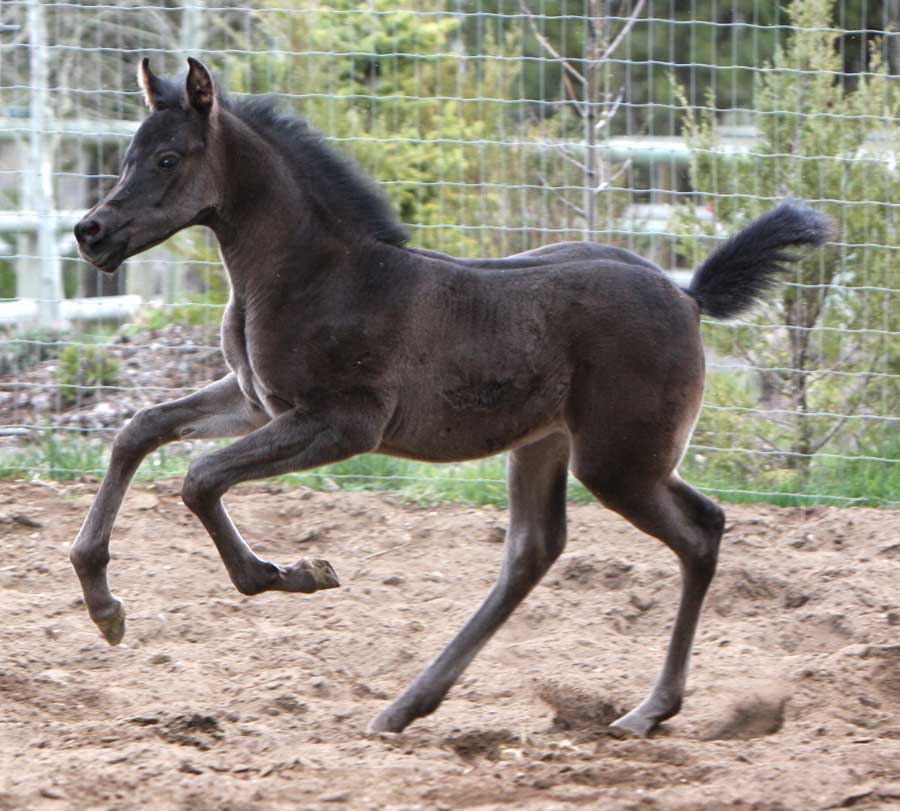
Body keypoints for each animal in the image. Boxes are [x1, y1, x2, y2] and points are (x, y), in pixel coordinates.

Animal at [70, 60, 828, 740]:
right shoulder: (258, 402)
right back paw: (407, 706)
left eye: (168, 158)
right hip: (547, 443)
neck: (317, 275)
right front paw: (103, 605)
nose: (91, 232)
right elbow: (140, 429)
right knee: (534, 550)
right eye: (127, 155)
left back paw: (647, 710)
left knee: (700, 531)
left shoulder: (343, 423)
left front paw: (292, 572)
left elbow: (200, 479)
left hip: (617, 461)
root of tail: (689, 295)